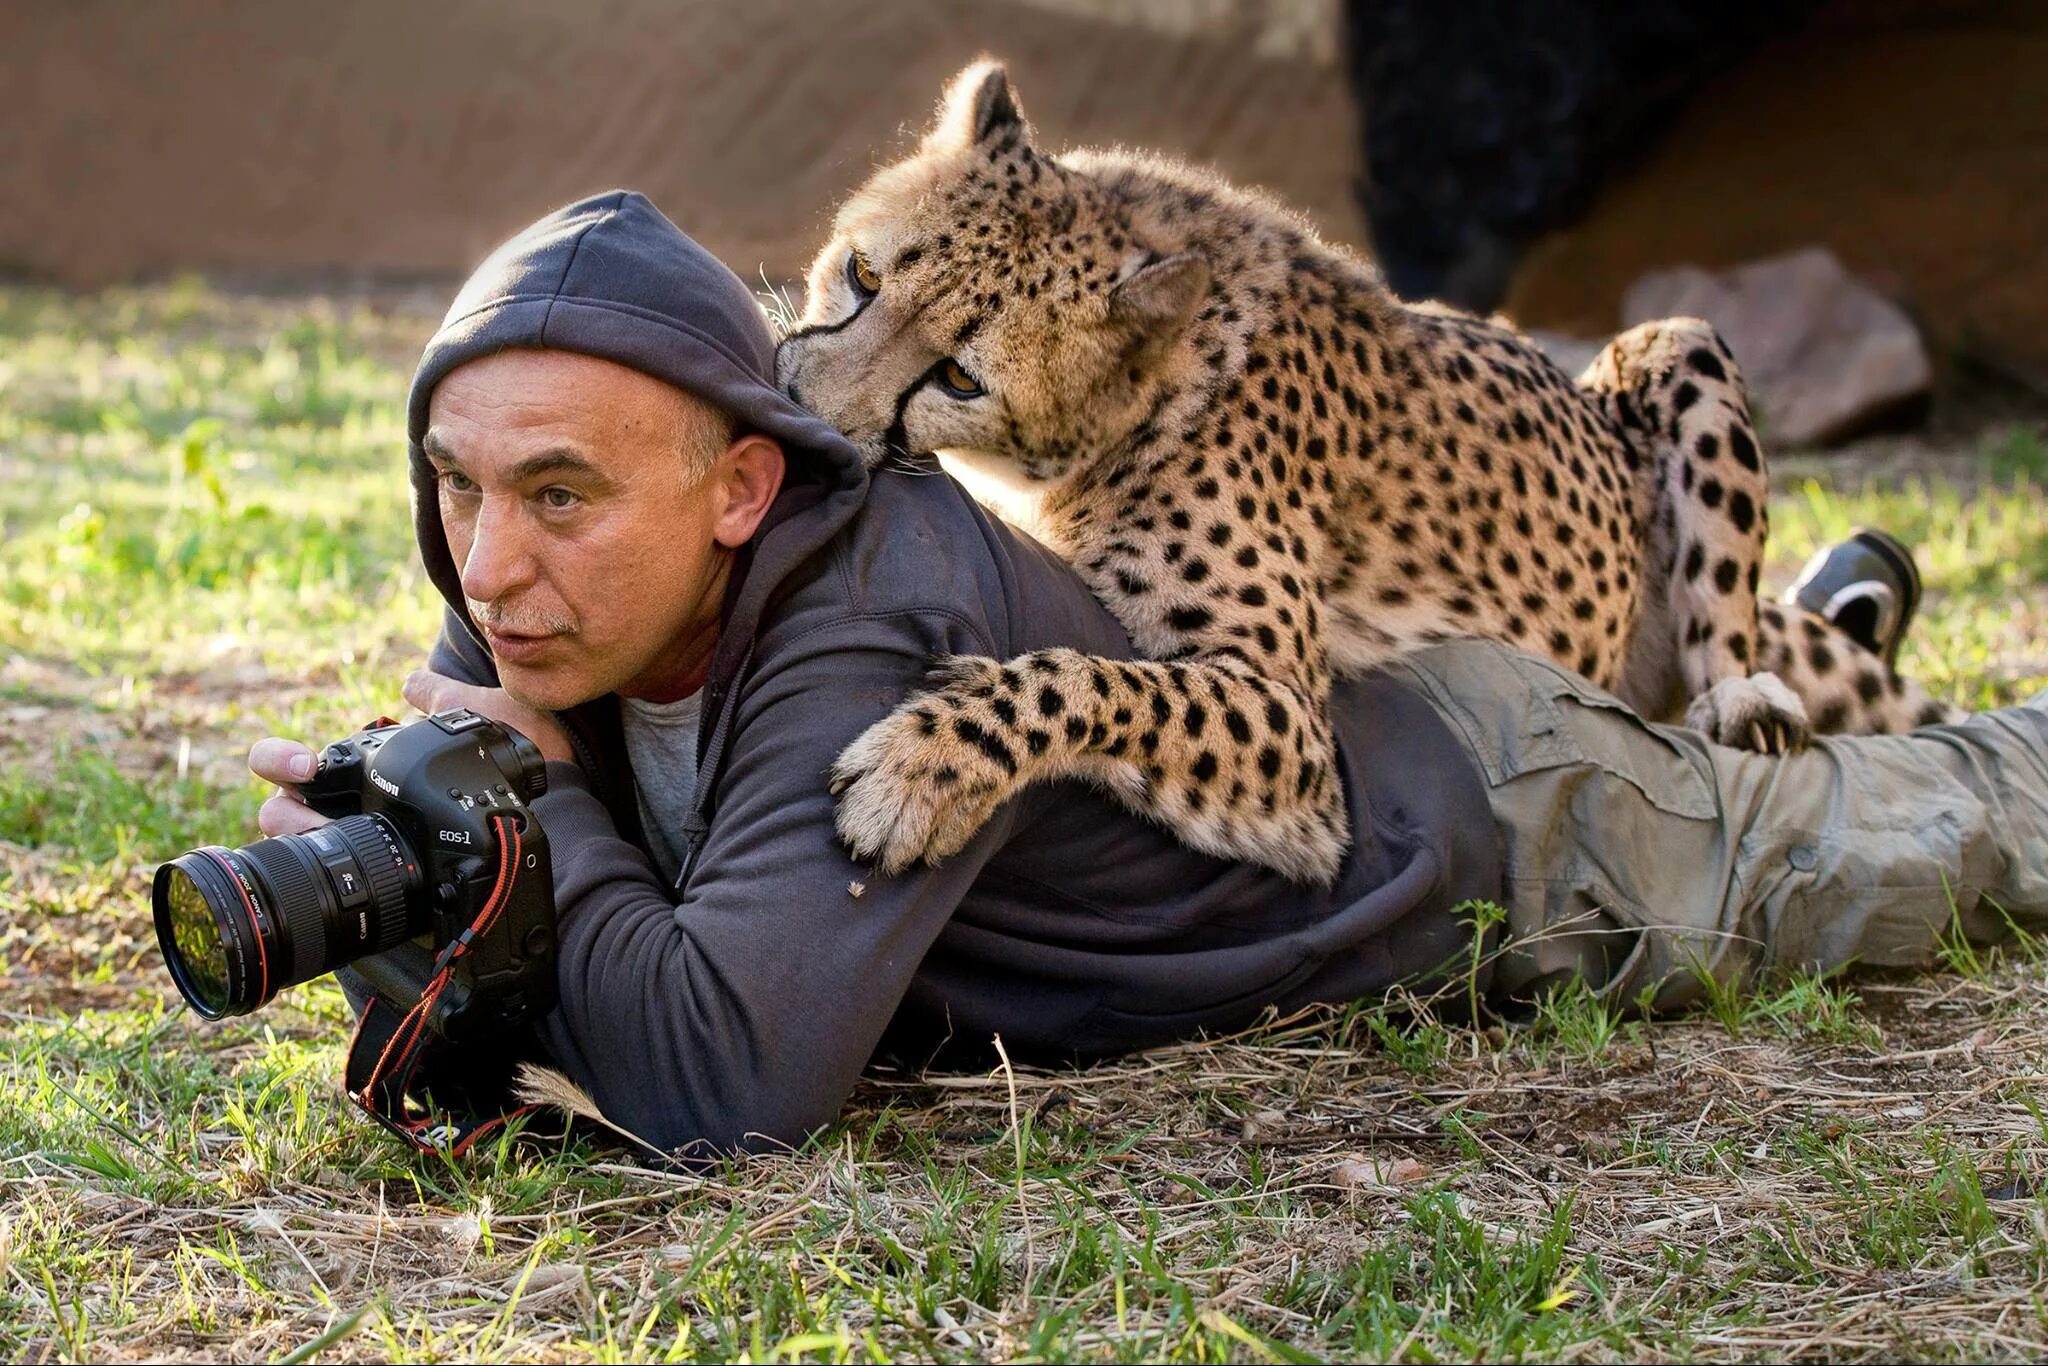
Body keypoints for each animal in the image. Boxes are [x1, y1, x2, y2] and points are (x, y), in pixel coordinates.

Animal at [774, 58, 1957, 880]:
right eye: (862, 273)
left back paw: (1744, 699)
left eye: (960, 377)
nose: (805, 407)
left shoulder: (1296, 733)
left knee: (1732, 625)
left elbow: (1092, 679)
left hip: (1677, 343)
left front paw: (922, 769)